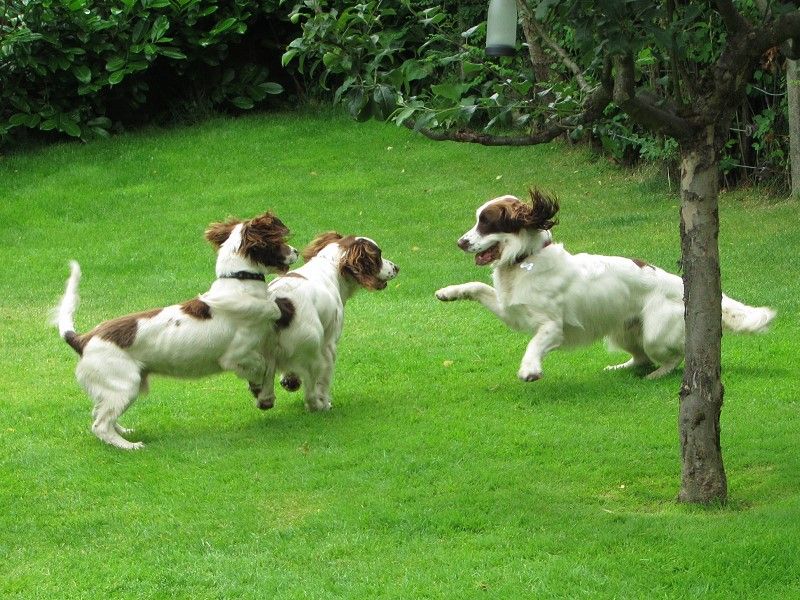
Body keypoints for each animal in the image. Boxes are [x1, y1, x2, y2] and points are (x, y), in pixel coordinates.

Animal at [53, 211, 298, 450]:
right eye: (279, 241)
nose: (295, 251)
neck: (239, 283)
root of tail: (83, 339)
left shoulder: (265, 344)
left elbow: (270, 368)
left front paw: (264, 394)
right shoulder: (235, 356)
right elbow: (261, 367)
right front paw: (259, 390)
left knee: (99, 413)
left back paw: (124, 432)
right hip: (125, 384)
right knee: (100, 425)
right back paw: (129, 445)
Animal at [255, 231, 398, 412]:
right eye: (378, 255)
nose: (397, 267)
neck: (330, 266)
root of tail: (277, 304)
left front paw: (290, 380)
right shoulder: (329, 345)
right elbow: (323, 382)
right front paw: (325, 401)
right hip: (313, 353)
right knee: (310, 393)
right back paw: (319, 405)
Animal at [438, 190, 776, 382]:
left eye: (486, 222)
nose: (460, 242)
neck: (525, 260)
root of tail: (682, 284)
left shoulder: (551, 326)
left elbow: (533, 344)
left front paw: (530, 369)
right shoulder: (511, 310)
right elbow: (477, 286)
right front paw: (447, 292)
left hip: (655, 333)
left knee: (676, 356)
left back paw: (656, 375)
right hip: (621, 331)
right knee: (640, 358)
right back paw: (620, 369)